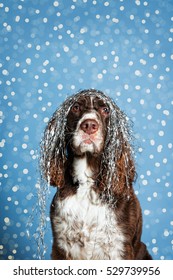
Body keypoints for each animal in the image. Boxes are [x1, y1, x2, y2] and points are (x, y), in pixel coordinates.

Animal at [39, 88, 152, 260]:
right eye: (76, 107)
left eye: (105, 110)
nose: (89, 125)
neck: (87, 184)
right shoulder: (61, 244)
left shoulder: (120, 246)